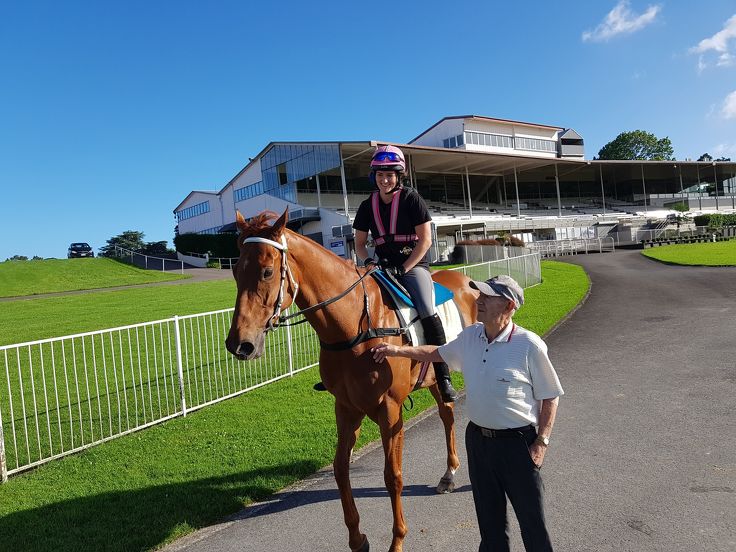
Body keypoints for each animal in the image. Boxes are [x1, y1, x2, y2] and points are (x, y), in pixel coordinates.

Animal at [226, 210, 478, 552]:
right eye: (236, 271)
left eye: (267, 271)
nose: (239, 344)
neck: (355, 324)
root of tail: (468, 282)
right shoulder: (346, 407)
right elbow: (340, 469)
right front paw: (358, 539)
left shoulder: (390, 410)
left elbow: (392, 475)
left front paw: (397, 540)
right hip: (434, 379)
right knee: (447, 414)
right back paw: (449, 473)